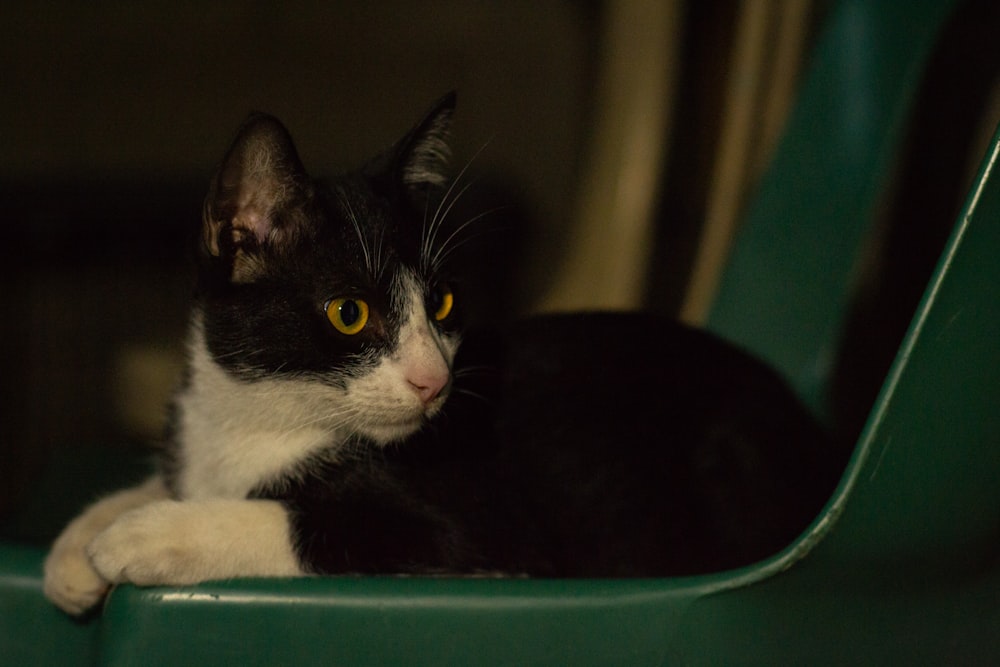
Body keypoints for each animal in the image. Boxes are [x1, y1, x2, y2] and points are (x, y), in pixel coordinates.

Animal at [47, 92, 844, 616]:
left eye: (443, 304)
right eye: (349, 313)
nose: (435, 380)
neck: (265, 417)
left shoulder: (486, 533)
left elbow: (303, 522)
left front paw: (143, 533)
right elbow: (174, 478)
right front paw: (79, 544)